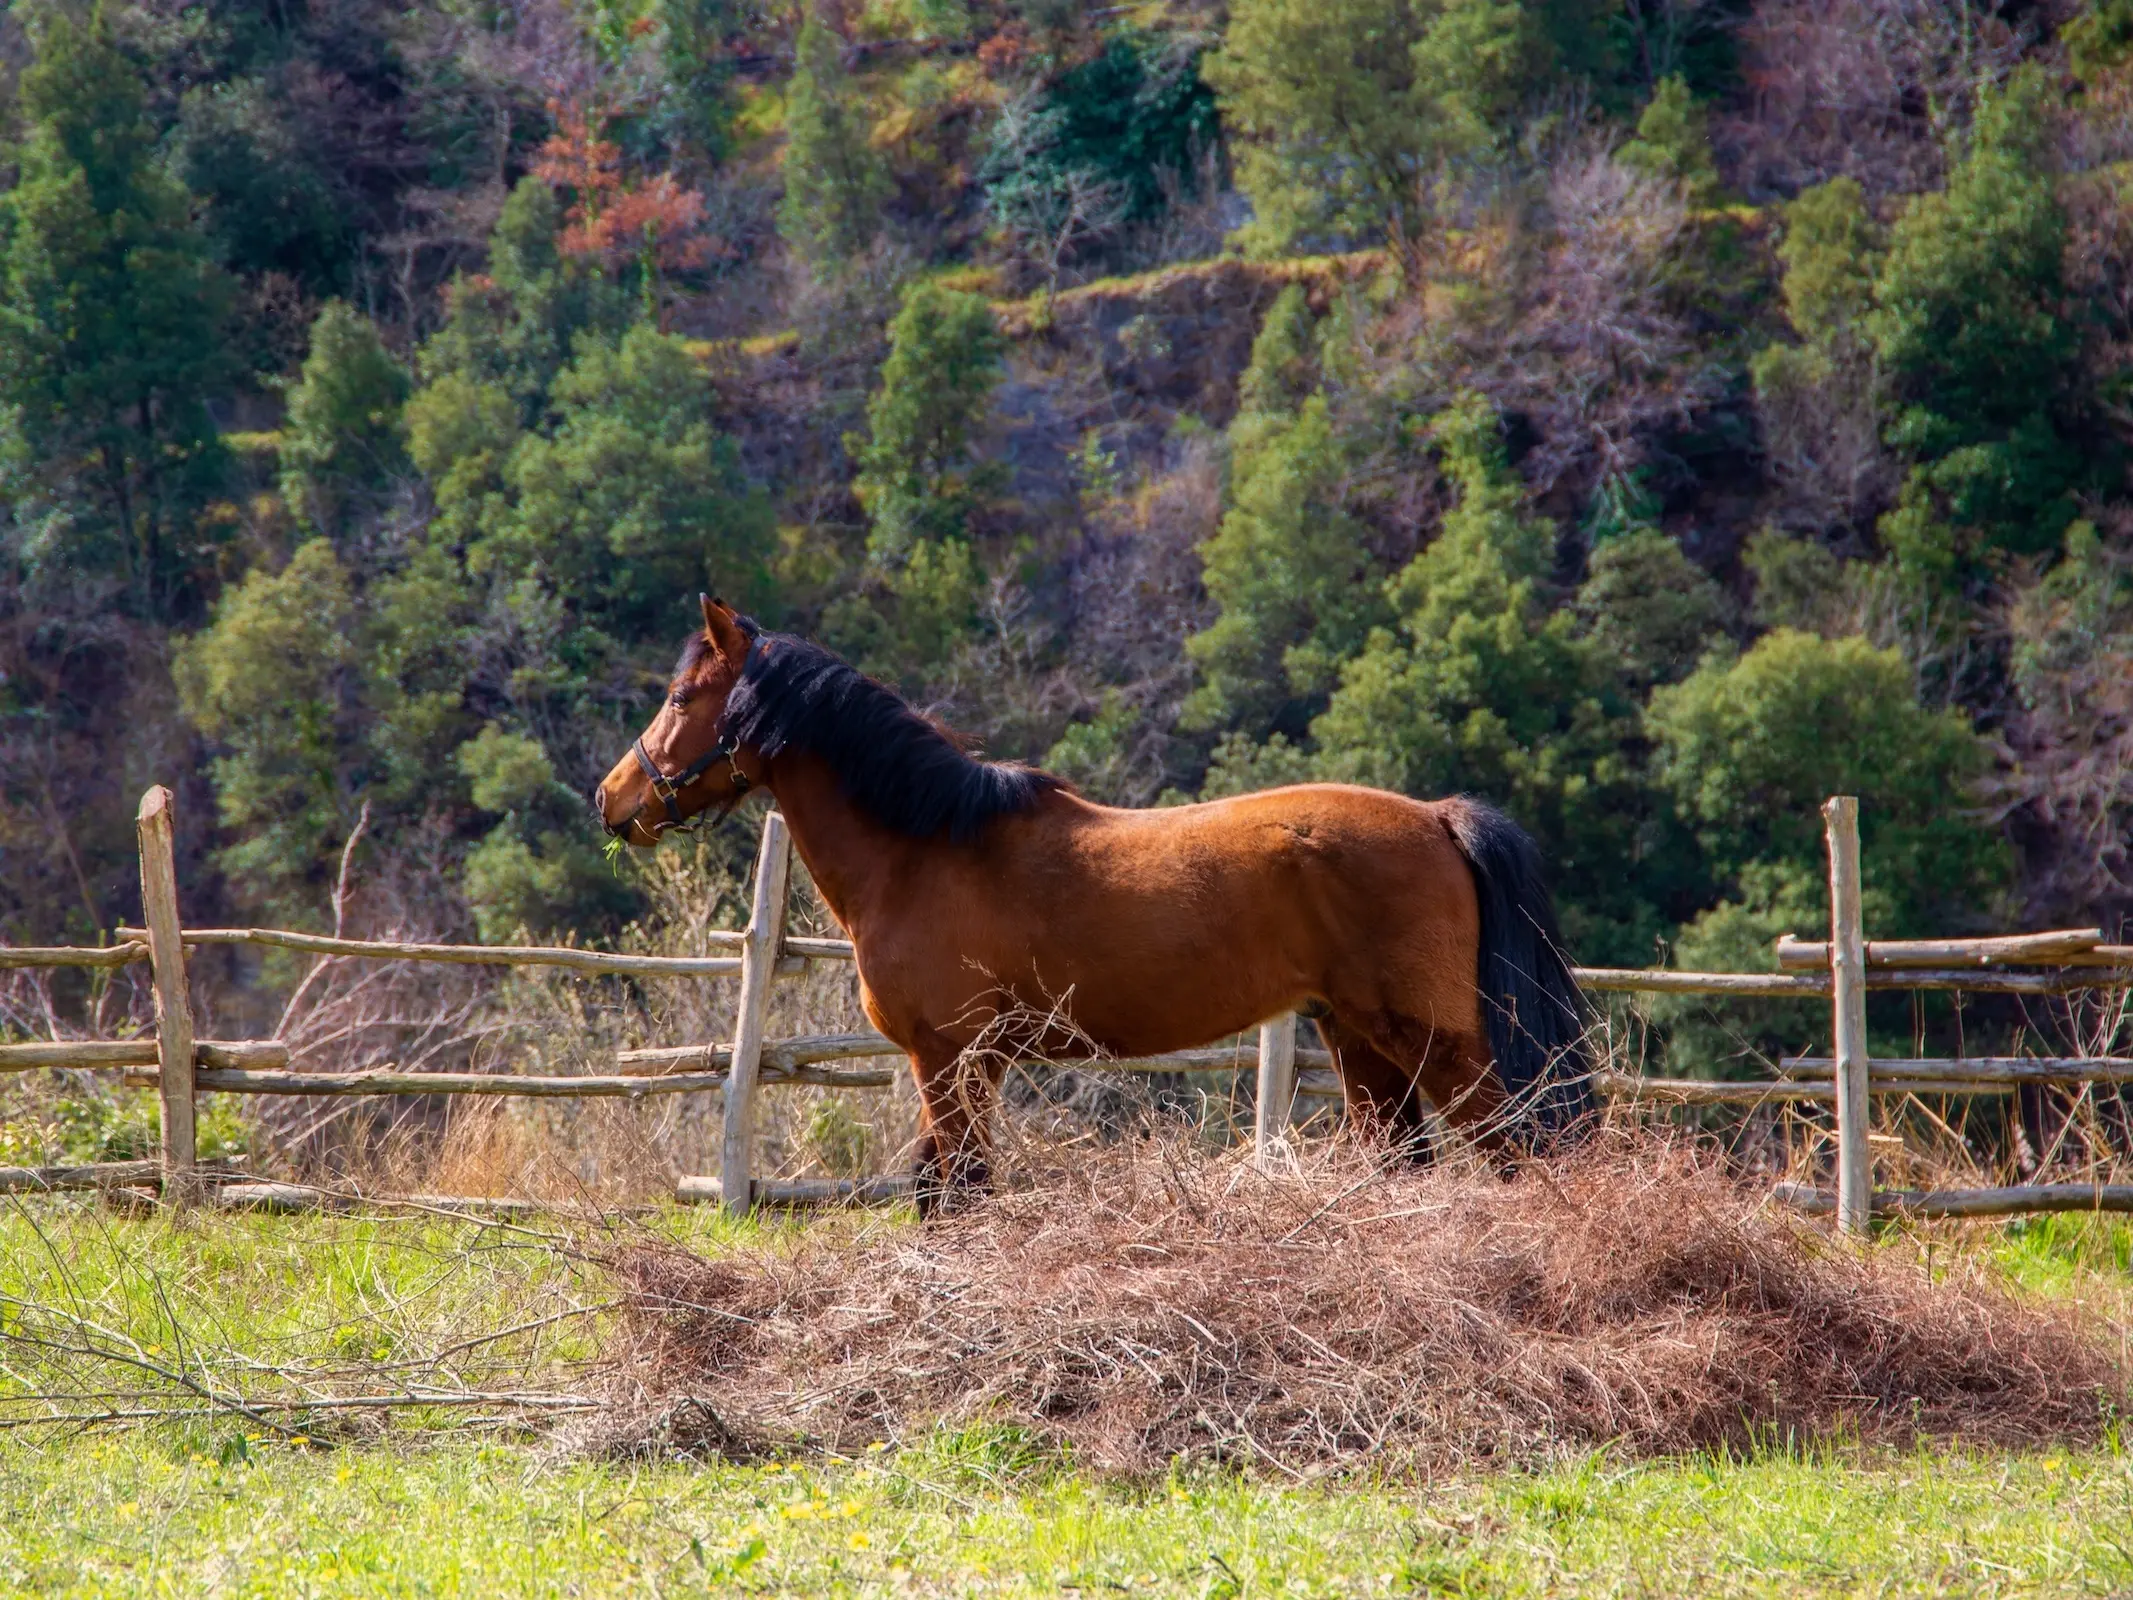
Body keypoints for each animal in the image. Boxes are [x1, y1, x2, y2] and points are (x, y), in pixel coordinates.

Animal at [592, 605, 1595, 1211]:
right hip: (1359, 1044)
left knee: (1521, 1150)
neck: (925, 846)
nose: (611, 800)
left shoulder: (950, 1059)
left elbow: (954, 1191)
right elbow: (942, 1187)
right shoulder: (962, 1065)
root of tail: (1436, 817)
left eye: (681, 696)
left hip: (1441, 1045)